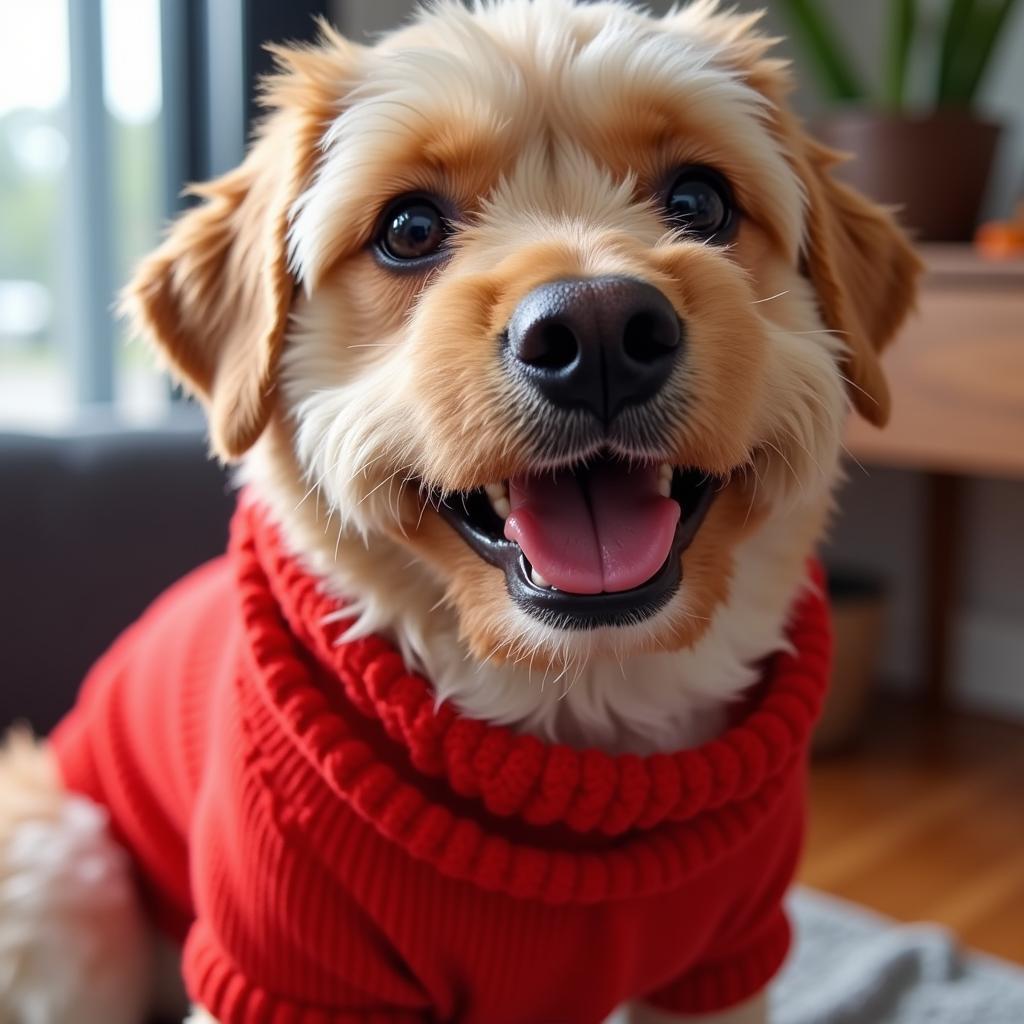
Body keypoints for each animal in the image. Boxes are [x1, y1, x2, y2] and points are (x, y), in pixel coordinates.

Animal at [0, 4, 921, 1019]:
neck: (576, 707)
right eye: (407, 227)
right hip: (59, 868)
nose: (598, 330)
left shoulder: (723, 957)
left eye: (700, 202)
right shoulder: (282, 968)